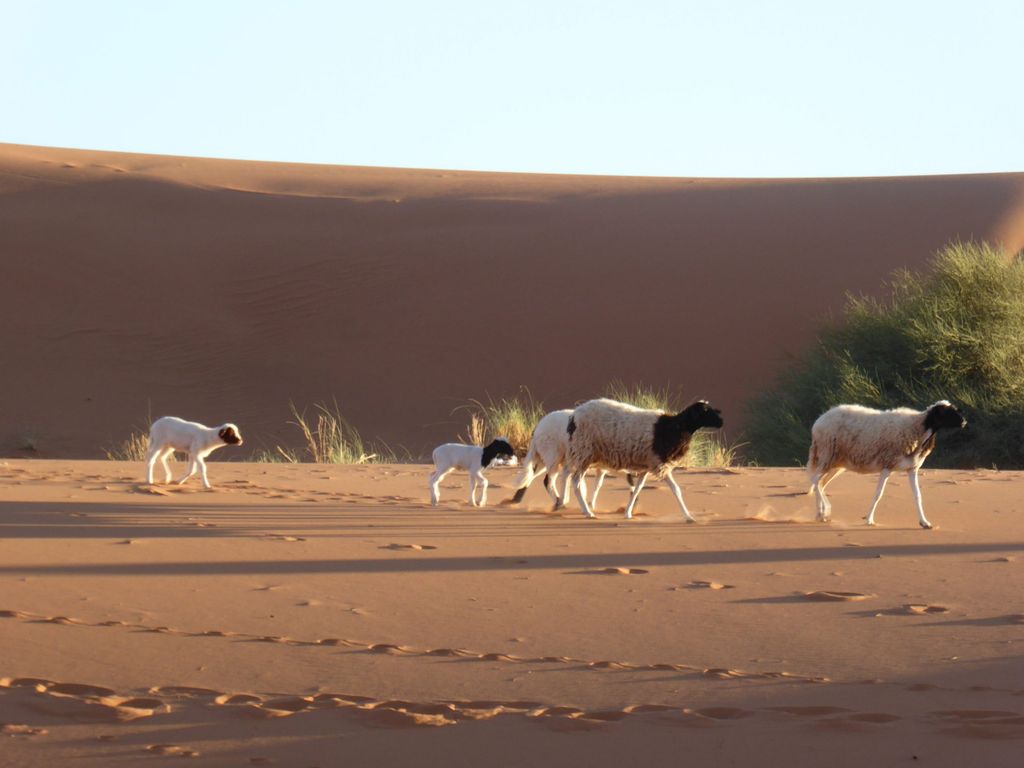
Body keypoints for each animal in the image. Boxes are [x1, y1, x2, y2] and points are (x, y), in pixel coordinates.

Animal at [566, 398, 724, 519]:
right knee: (576, 482)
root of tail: (575, 415)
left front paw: (628, 513)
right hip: (583, 452)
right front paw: (688, 516)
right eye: (705, 411)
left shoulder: (647, 466)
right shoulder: (659, 464)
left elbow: (637, 489)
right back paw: (587, 512)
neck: (676, 428)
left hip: (584, 454)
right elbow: (676, 489)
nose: (722, 421)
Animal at [807, 400, 966, 529]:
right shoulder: (887, 465)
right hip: (826, 455)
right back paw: (825, 510)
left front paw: (924, 522)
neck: (919, 427)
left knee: (820, 483)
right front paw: (869, 520)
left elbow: (917, 496)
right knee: (815, 480)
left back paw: (820, 514)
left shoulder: (912, 468)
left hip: (836, 463)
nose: (964, 422)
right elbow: (879, 494)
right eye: (946, 412)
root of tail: (818, 421)